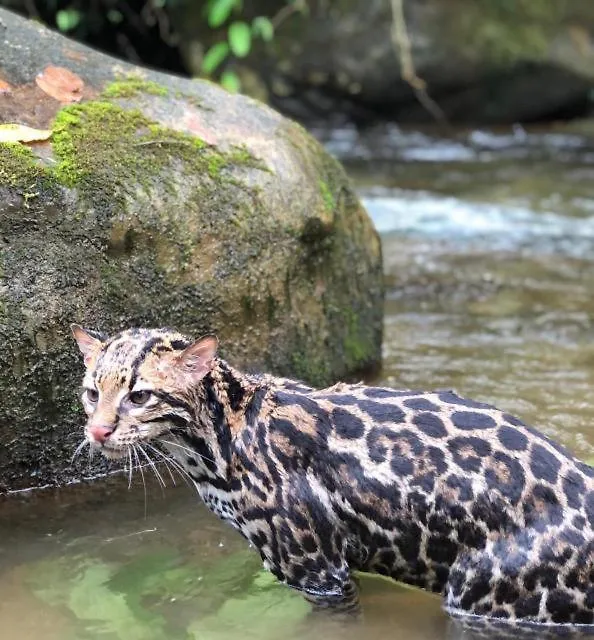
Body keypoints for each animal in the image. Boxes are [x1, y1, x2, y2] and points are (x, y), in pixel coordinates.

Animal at [71, 324, 592, 632]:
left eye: (139, 396)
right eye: (91, 392)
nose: (97, 430)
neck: (222, 436)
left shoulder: (319, 573)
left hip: (484, 592)